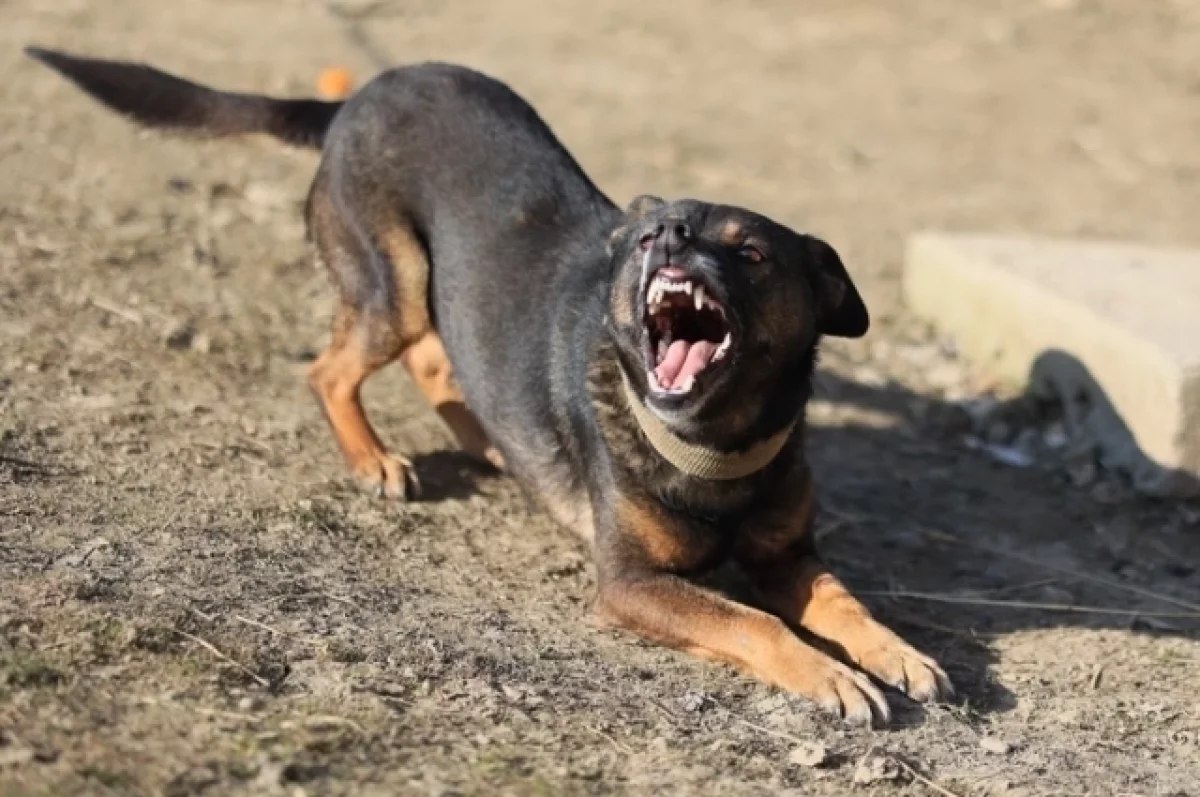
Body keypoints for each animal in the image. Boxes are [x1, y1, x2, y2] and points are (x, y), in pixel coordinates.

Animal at [23, 46, 950, 724]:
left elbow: (847, 604)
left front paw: (899, 652)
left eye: (751, 251)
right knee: (333, 368)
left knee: (441, 361)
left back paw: (491, 443)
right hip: (393, 283)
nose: (669, 236)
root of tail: (357, 97)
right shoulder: (630, 584)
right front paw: (832, 676)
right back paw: (374, 458)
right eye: (655, 230)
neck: (712, 444)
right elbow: (751, 619)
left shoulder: (790, 556)